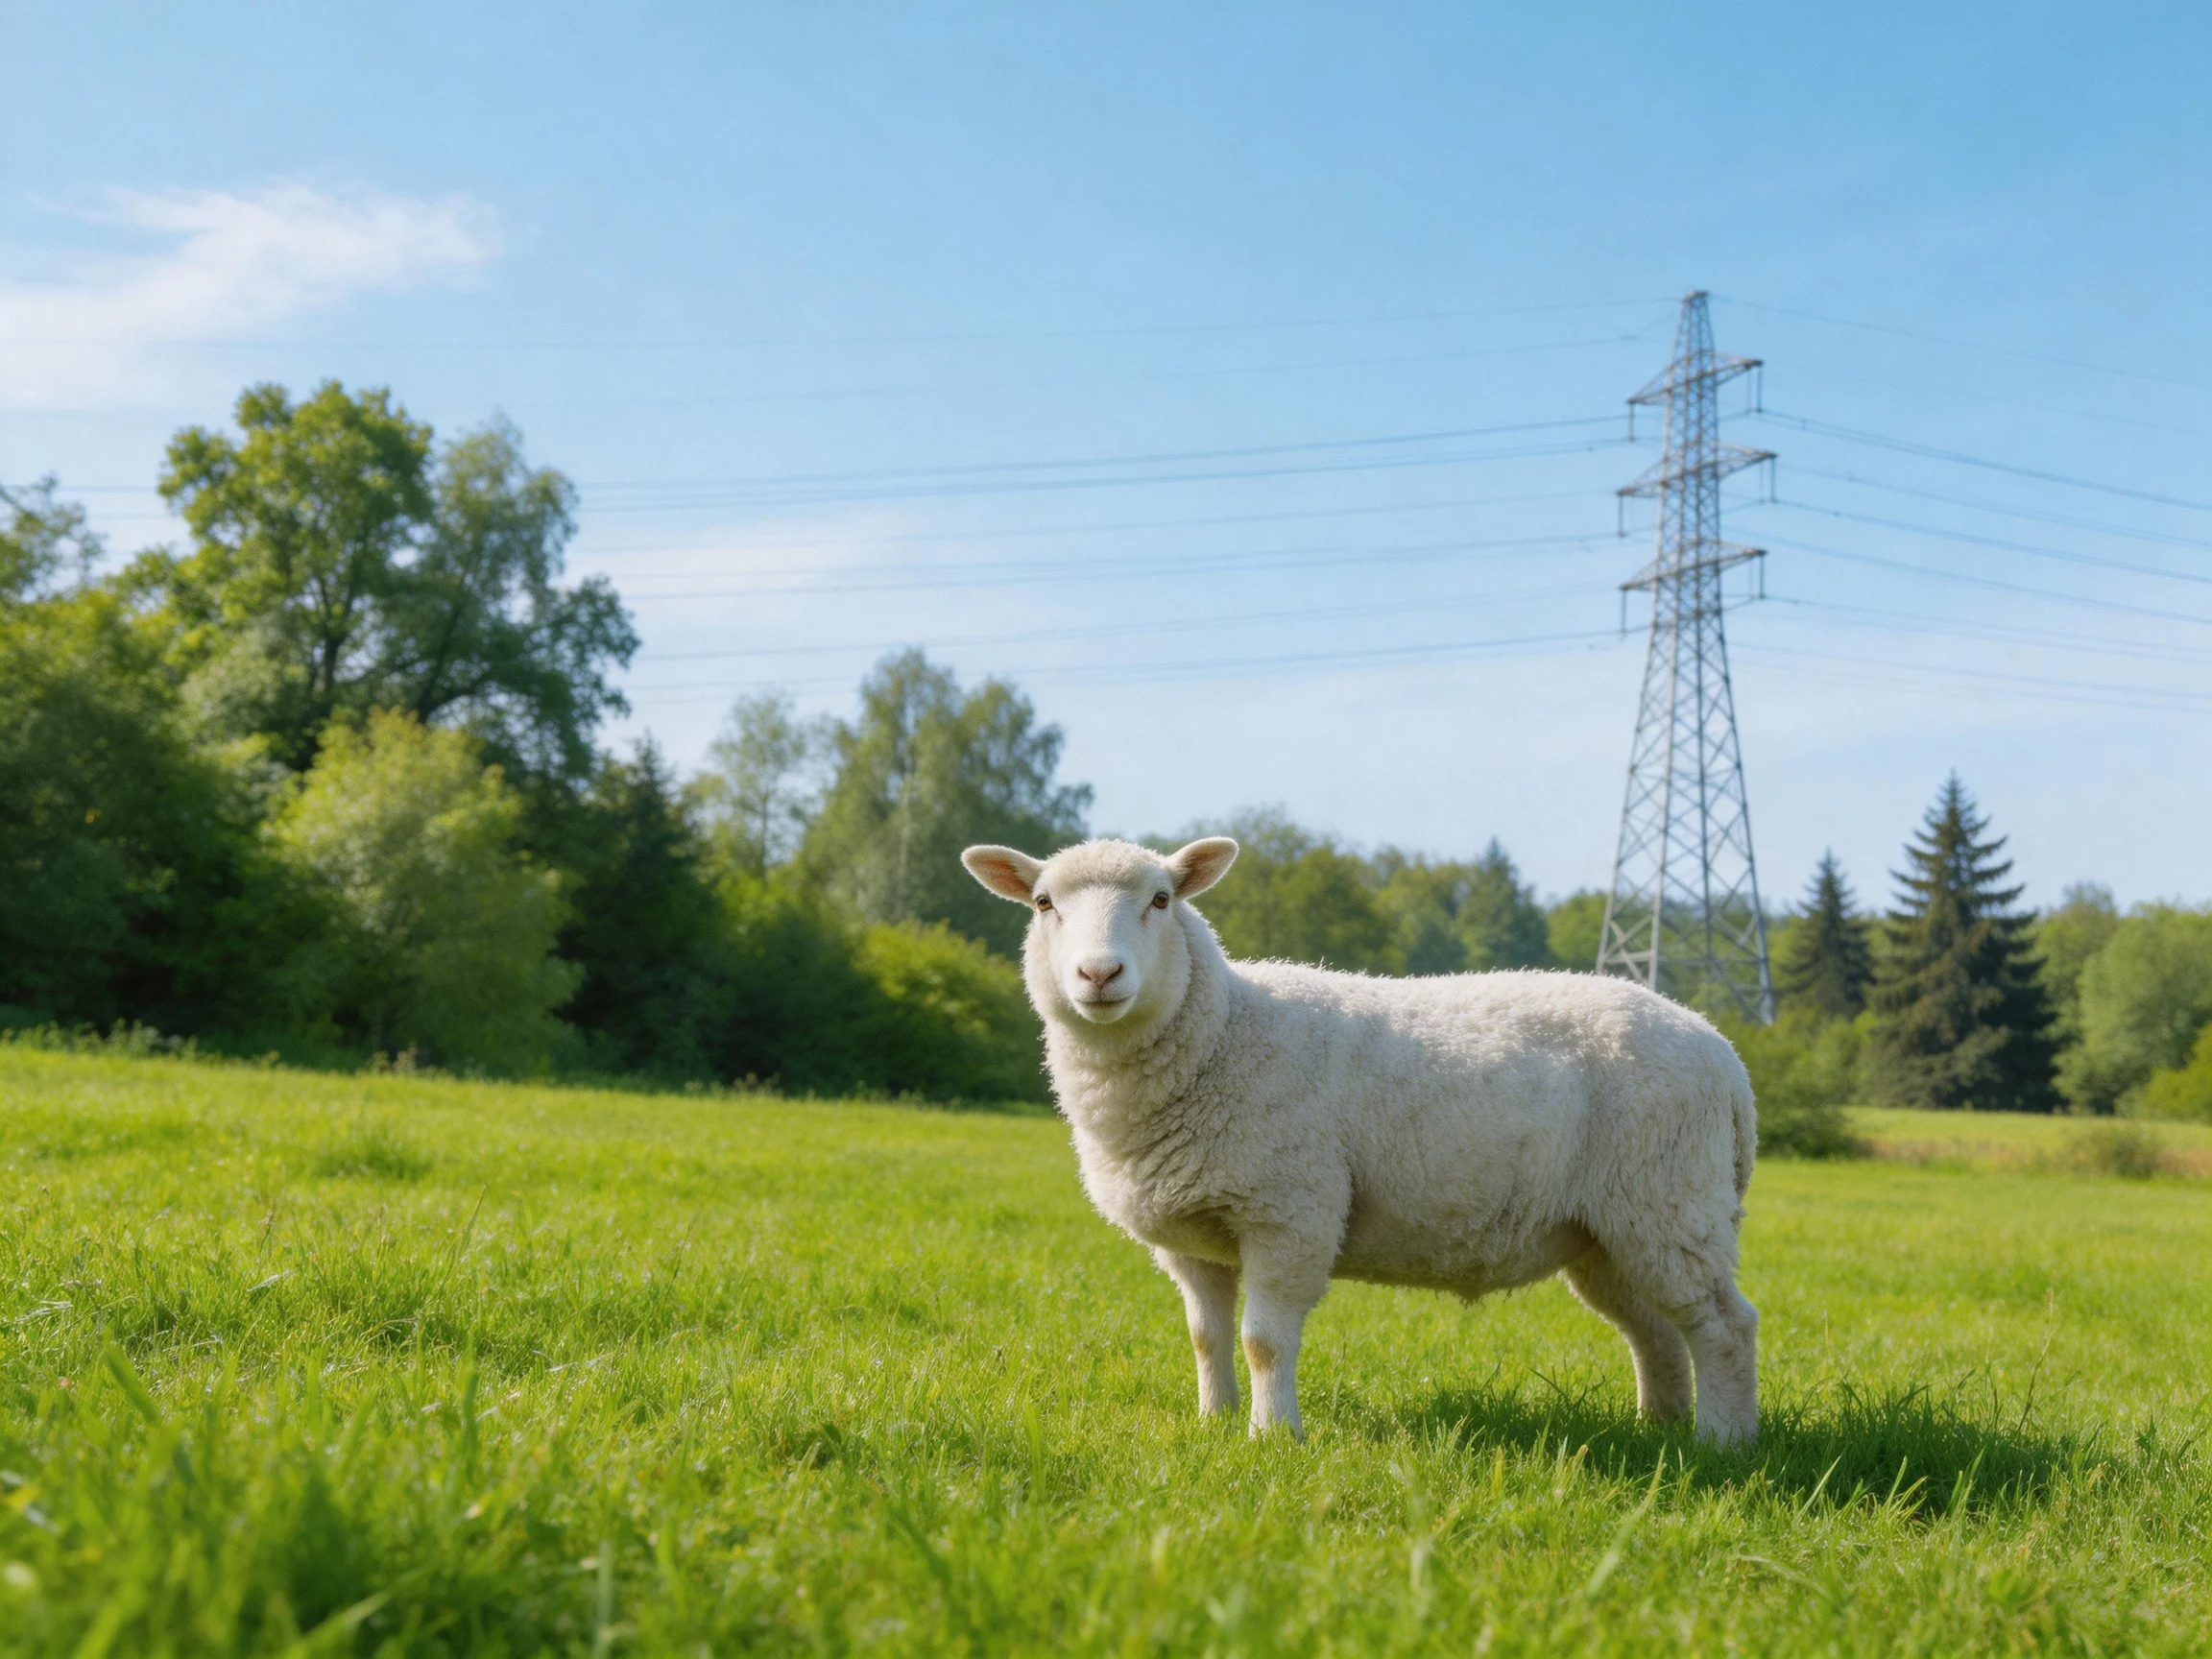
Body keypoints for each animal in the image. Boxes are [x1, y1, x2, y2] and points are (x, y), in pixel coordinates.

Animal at [960, 835, 1761, 1446]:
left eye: (1161, 900)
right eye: (1044, 904)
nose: (1100, 974)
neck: (1225, 1030)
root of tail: (1723, 1054)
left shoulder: (1289, 1211)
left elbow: (1263, 1340)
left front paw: (1272, 1437)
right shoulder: (1192, 1237)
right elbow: (1206, 1337)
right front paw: (1214, 1422)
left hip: (1668, 1198)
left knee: (1724, 1326)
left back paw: (1723, 1444)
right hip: (1607, 1231)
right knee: (1657, 1332)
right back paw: (1660, 1428)